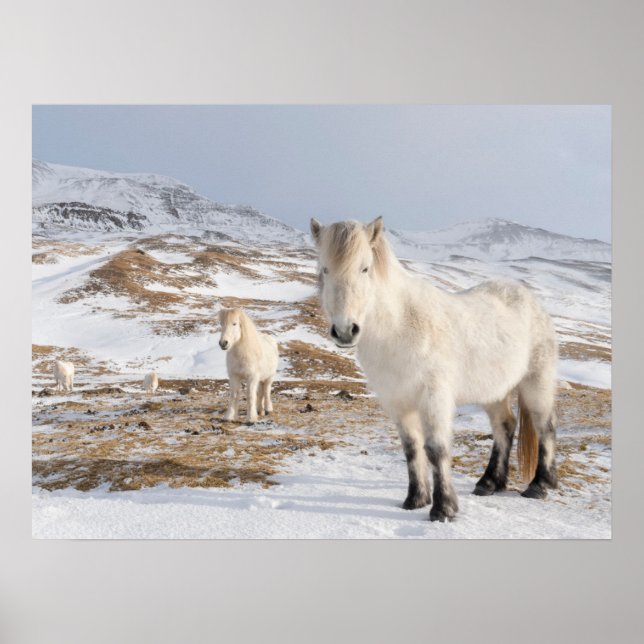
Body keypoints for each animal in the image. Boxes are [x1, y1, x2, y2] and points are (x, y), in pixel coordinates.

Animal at [310, 216, 558, 522]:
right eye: (325, 269)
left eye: (364, 268)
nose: (345, 331)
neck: (400, 327)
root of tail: (529, 298)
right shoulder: (398, 402)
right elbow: (411, 449)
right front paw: (415, 500)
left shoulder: (434, 398)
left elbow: (436, 449)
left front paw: (443, 509)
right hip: (494, 391)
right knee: (505, 426)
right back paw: (489, 483)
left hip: (537, 382)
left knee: (545, 426)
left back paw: (540, 485)